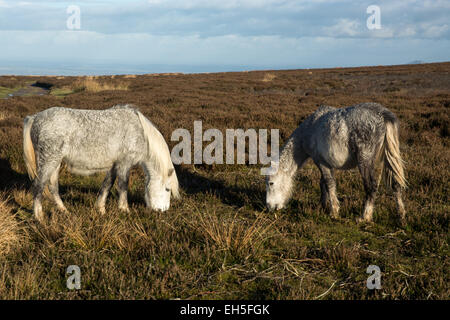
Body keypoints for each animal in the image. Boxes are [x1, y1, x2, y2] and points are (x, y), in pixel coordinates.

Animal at [23, 104, 179, 221]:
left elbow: (107, 185)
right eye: (167, 189)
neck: (140, 132)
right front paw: (124, 210)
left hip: (55, 163)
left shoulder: (114, 165)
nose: (162, 211)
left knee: (52, 186)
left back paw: (64, 210)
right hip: (48, 161)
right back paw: (39, 217)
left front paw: (100, 209)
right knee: (38, 186)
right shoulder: (124, 163)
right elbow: (123, 186)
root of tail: (35, 117)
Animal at [266, 102, 406, 222]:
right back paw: (401, 214)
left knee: (371, 186)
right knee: (395, 184)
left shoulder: (321, 162)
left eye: (271, 183)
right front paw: (322, 206)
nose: (269, 207)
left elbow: (329, 184)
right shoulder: (327, 164)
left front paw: (334, 212)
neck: (310, 129)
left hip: (365, 161)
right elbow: (323, 183)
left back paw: (364, 217)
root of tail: (382, 115)